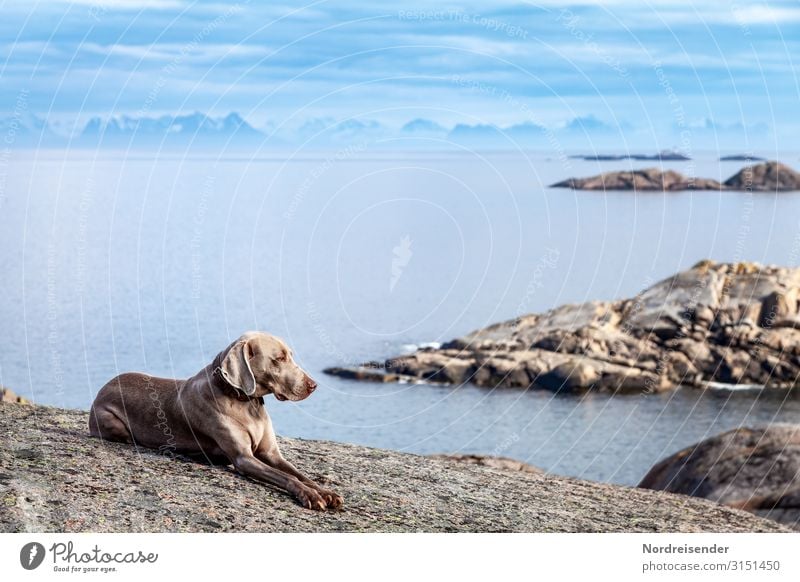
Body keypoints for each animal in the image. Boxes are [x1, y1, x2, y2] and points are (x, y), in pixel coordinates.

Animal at [88, 330, 344, 512]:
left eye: (290, 355)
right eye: (278, 359)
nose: (313, 385)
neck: (244, 401)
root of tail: (102, 388)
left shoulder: (271, 453)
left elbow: (298, 473)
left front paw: (324, 491)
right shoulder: (243, 458)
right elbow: (287, 477)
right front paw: (310, 495)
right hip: (112, 422)